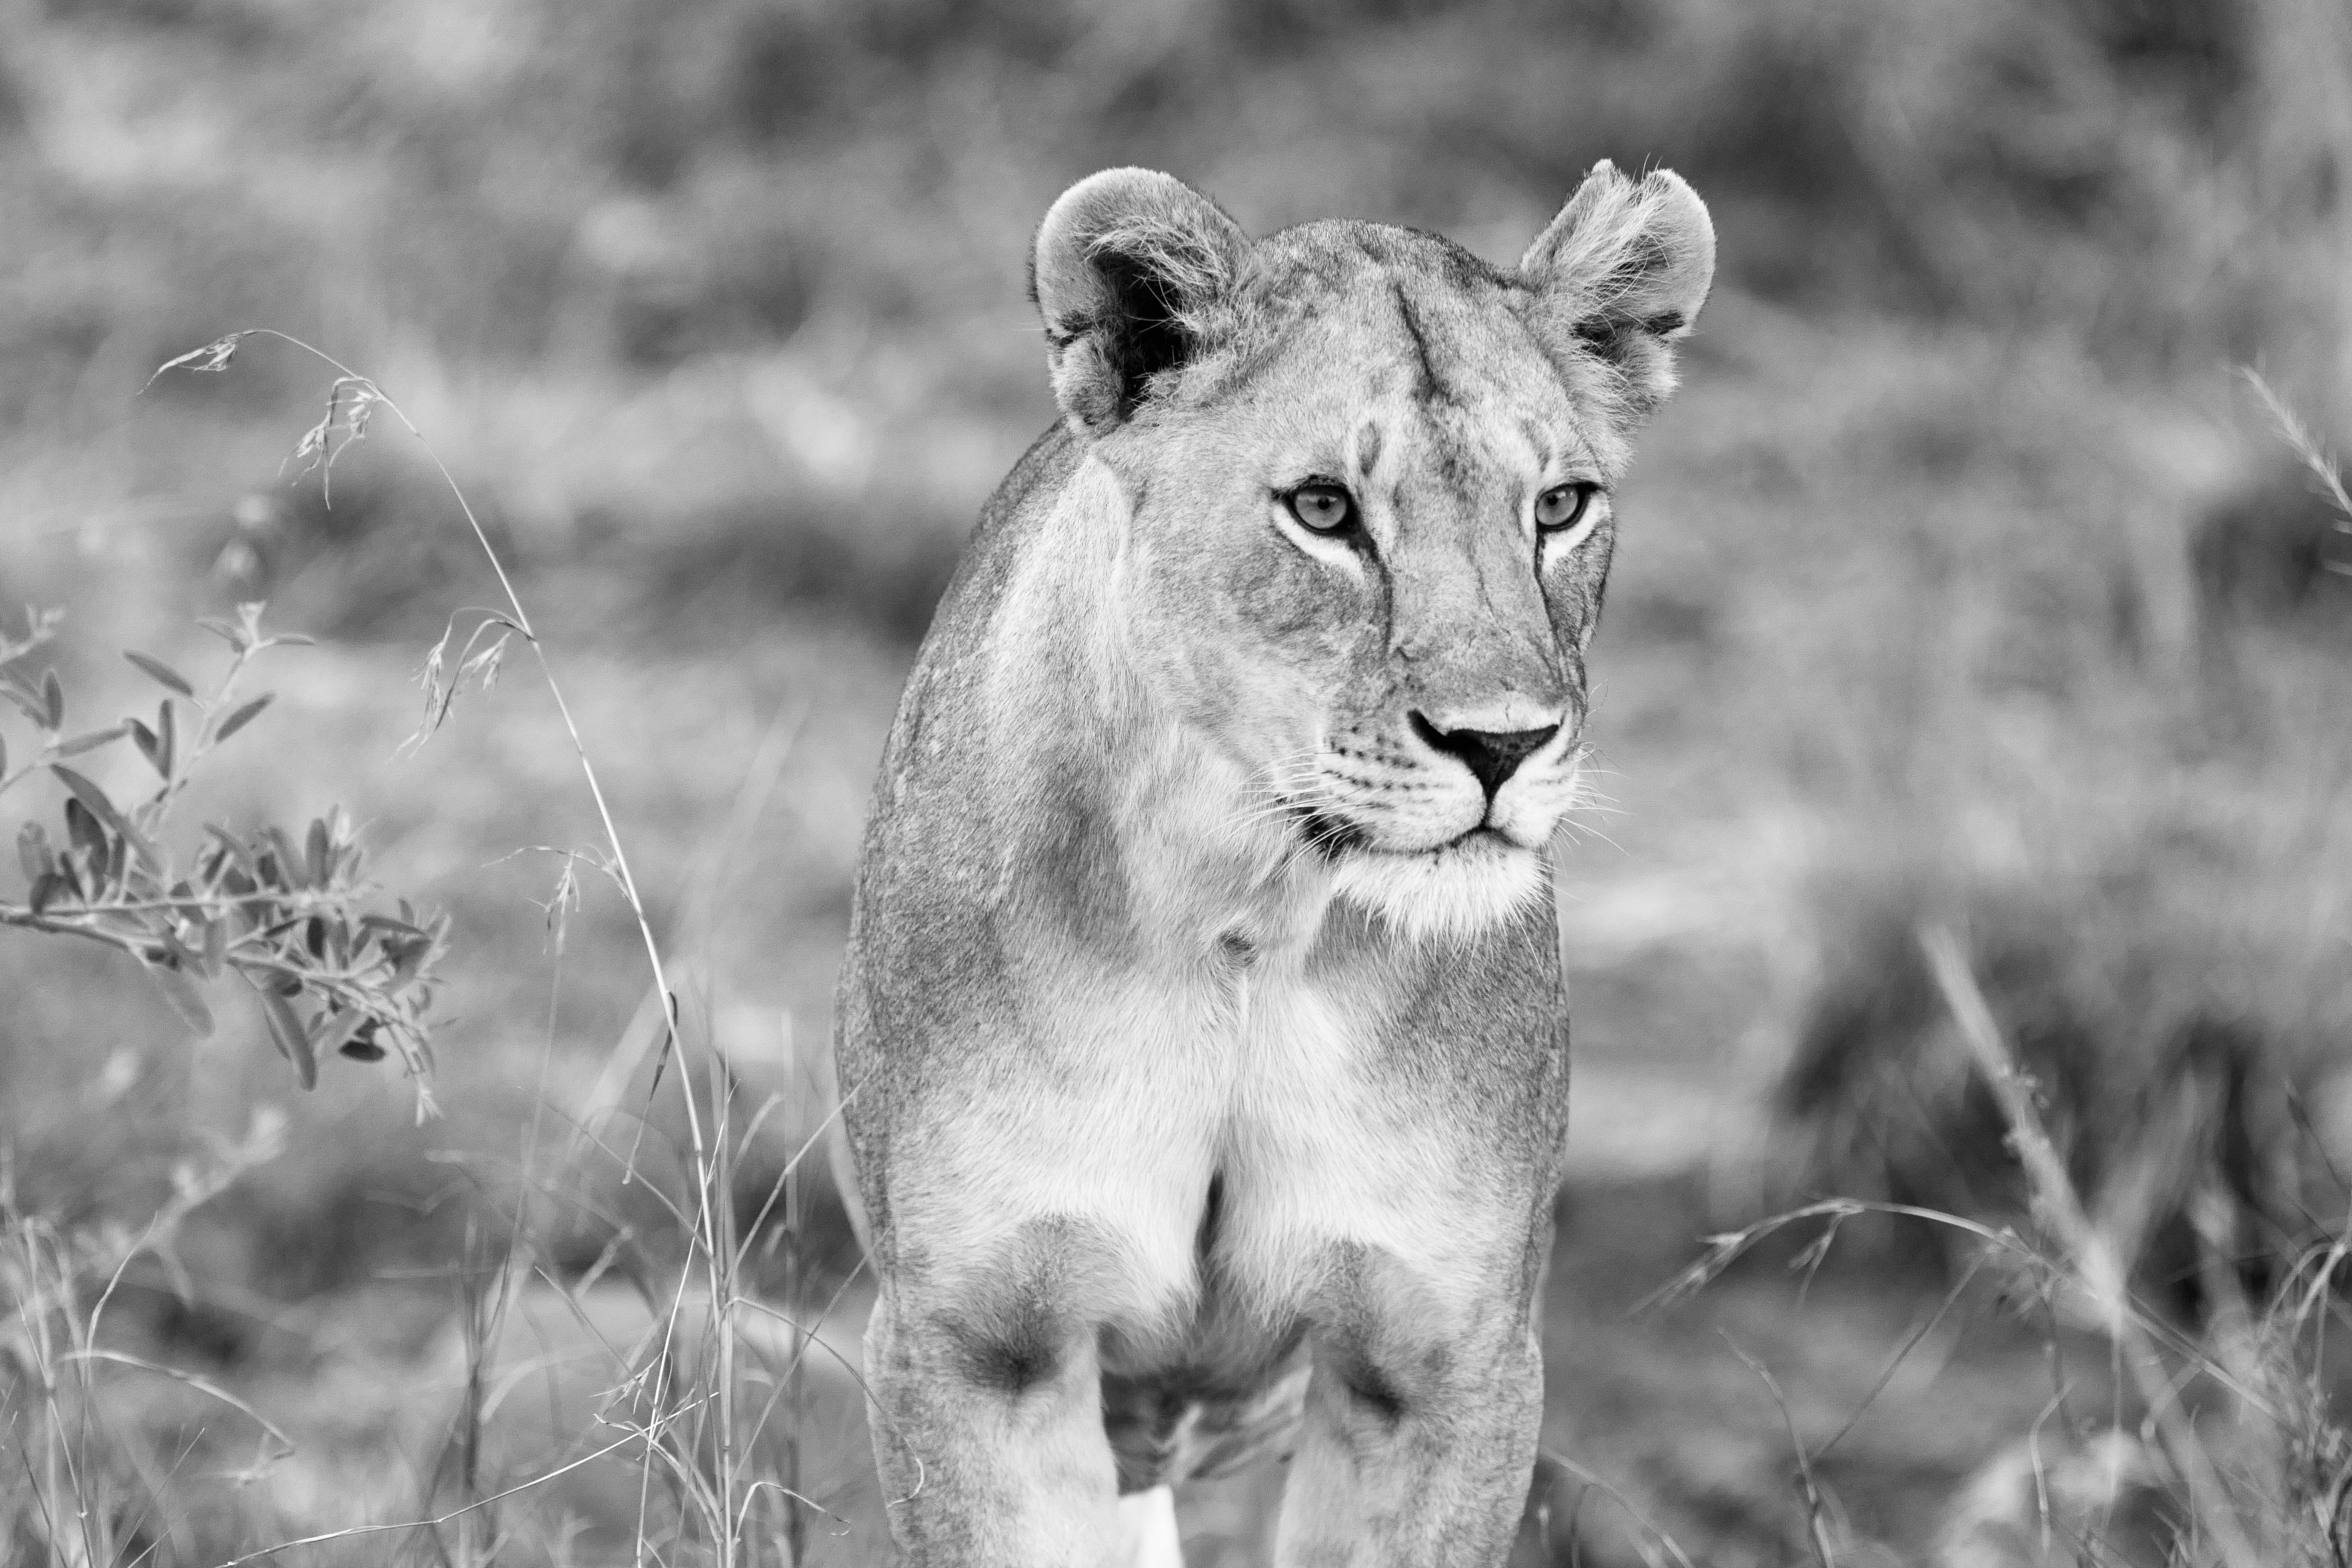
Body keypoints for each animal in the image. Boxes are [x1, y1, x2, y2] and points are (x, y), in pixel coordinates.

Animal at [829, 161, 1714, 1567]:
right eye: (1322, 511)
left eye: (1559, 507)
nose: (1501, 744)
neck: (1249, 910)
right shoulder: (975, 1342)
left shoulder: (1444, 1358)